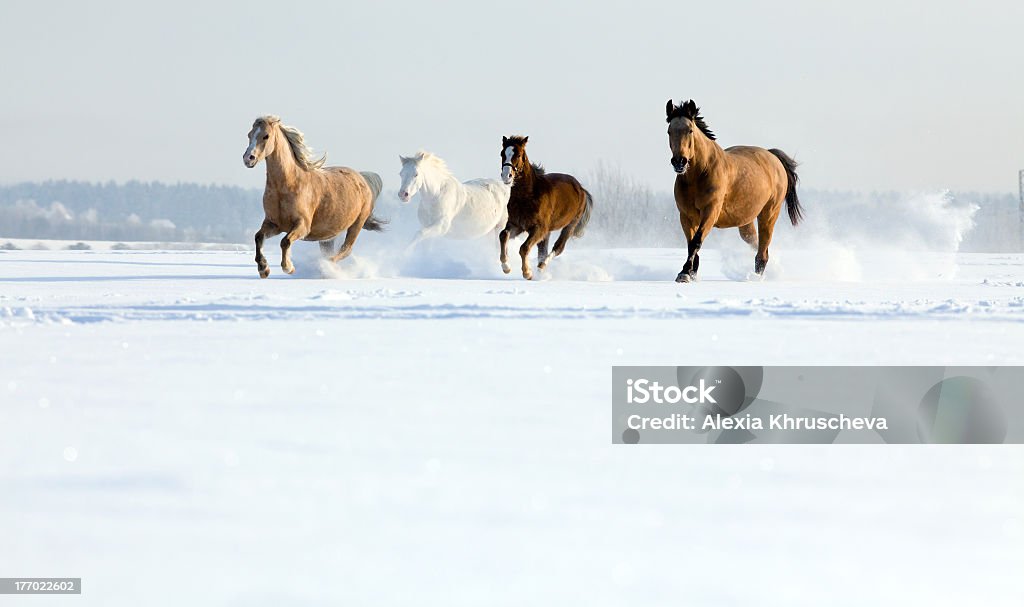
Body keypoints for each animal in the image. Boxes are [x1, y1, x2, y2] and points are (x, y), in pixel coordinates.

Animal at [241, 114, 385, 278]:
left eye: (266, 136)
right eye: (249, 135)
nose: (248, 158)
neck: (287, 185)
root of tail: (362, 179)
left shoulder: (303, 225)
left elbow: (285, 241)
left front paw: (288, 267)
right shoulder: (273, 223)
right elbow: (258, 237)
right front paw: (263, 269)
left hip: (357, 224)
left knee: (346, 249)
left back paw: (326, 267)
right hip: (330, 234)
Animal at [495, 135, 593, 278]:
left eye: (518, 155)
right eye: (502, 153)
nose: (506, 176)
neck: (527, 196)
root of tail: (581, 189)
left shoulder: (539, 228)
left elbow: (524, 247)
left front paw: (527, 273)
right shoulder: (516, 225)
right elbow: (503, 235)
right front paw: (506, 267)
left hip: (570, 225)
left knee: (558, 247)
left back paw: (540, 269)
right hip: (548, 231)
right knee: (543, 250)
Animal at [667, 99, 802, 282]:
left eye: (690, 130)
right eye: (669, 131)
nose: (679, 162)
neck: (700, 173)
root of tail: (773, 157)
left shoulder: (711, 211)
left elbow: (696, 241)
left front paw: (685, 273)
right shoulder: (686, 215)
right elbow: (690, 243)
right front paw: (690, 273)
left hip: (769, 213)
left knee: (763, 249)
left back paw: (757, 276)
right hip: (746, 221)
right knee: (756, 243)